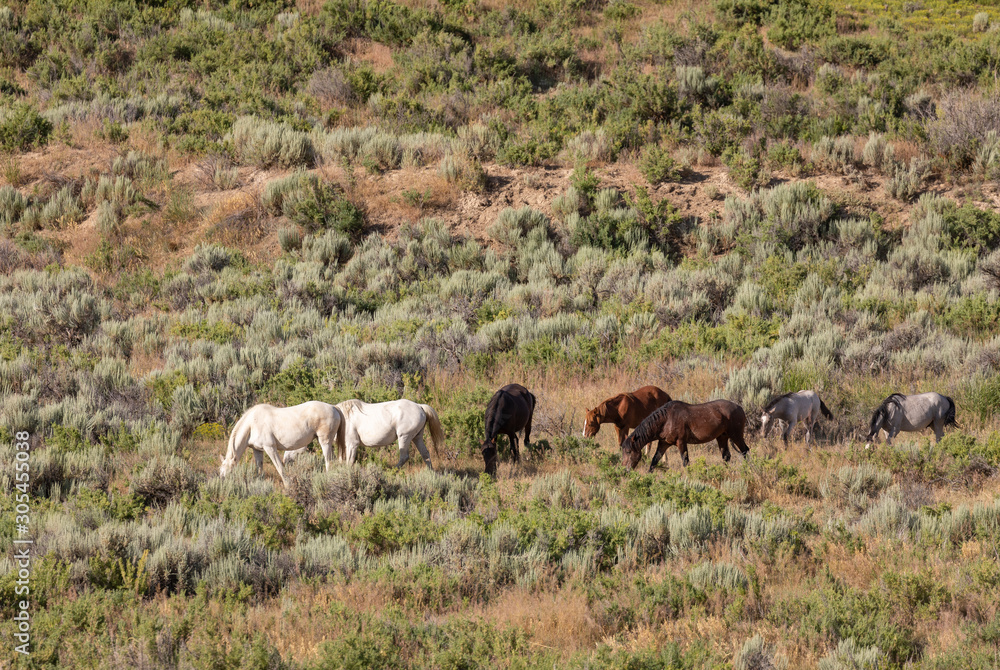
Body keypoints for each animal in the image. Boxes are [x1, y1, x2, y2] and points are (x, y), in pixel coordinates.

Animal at [621, 400, 750, 470]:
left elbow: (685, 462)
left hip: (736, 435)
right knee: (726, 456)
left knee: (745, 451)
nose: (625, 470)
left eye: (628, 451)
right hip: (722, 437)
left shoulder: (681, 442)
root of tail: (740, 408)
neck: (667, 419)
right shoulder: (663, 443)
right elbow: (654, 460)